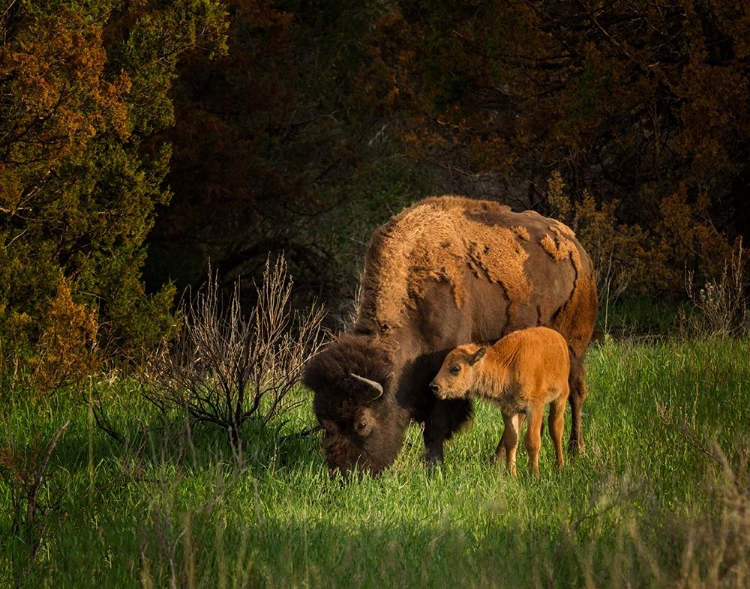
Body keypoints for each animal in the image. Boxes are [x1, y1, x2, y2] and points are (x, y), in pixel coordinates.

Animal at [432, 326, 572, 478]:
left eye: (455, 368)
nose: (434, 386)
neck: (507, 365)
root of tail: (558, 337)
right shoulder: (508, 409)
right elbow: (511, 441)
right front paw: (511, 474)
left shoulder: (535, 408)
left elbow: (532, 441)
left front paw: (534, 476)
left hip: (560, 398)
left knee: (556, 429)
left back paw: (560, 466)